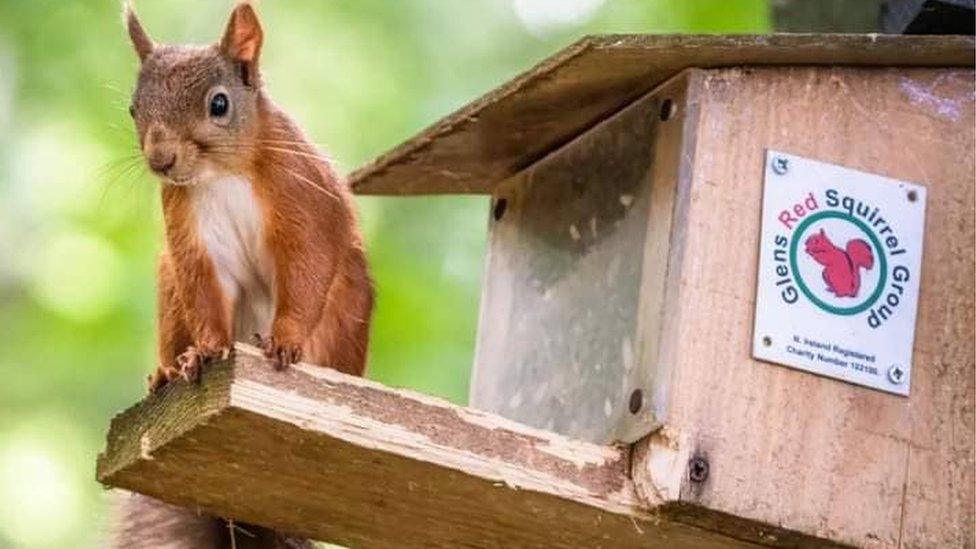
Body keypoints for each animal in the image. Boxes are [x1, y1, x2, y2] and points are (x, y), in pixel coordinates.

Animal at [124, 2, 376, 392]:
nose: (160, 160)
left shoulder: (302, 197)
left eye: (219, 104)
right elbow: (205, 291)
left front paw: (285, 341)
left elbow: (306, 269)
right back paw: (165, 374)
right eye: (133, 109)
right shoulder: (192, 229)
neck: (223, 174)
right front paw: (205, 350)